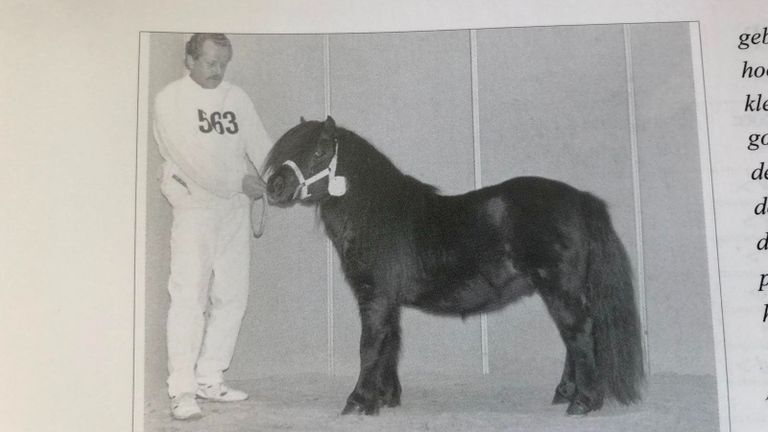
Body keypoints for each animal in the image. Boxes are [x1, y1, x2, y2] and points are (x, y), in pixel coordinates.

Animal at [268, 115, 644, 416]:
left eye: (319, 151)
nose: (275, 187)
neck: (376, 215)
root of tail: (581, 199)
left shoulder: (373, 296)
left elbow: (370, 346)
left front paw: (358, 402)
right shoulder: (388, 300)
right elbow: (389, 343)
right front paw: (385, 398)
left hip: (559, 288)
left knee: (579, 332)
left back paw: (583, 402)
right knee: (575, 336)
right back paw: (566, 393)